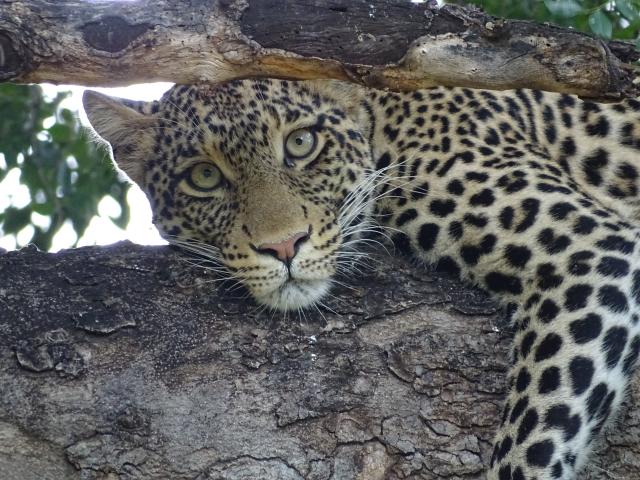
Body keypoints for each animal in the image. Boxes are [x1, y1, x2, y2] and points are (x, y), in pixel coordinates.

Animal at [82, 79, 640, 480]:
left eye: (301, 143)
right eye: (203, 176)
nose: (284, 246)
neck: (383, 122)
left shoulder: (593, 251)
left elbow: (533, 442)